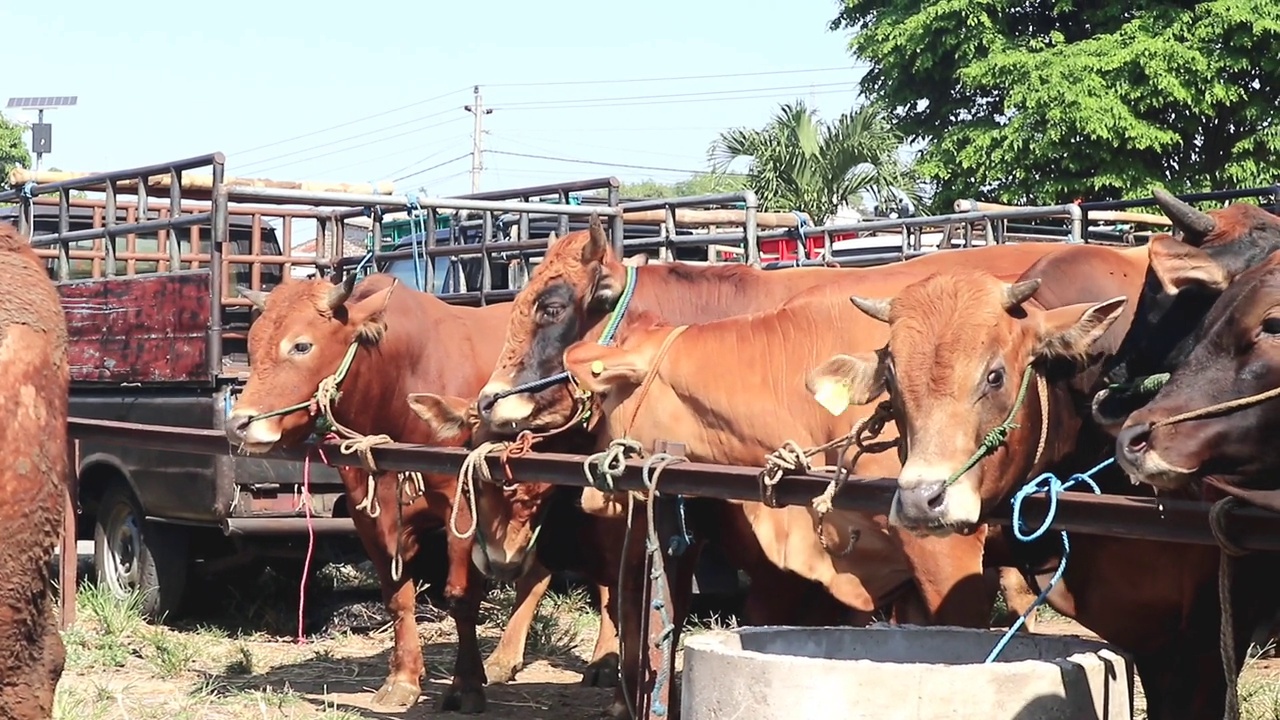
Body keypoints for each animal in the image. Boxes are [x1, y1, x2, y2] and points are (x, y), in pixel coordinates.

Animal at [225, 274, 619, 712]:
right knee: (537, 572)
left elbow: (461, 596)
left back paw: (604, 662)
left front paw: (465, 685)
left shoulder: (463, 510)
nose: (239, 423)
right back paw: (503, 659)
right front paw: (403, 678)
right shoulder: (369, 514)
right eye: (251, 344)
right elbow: (398, 596)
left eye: (301, 345)